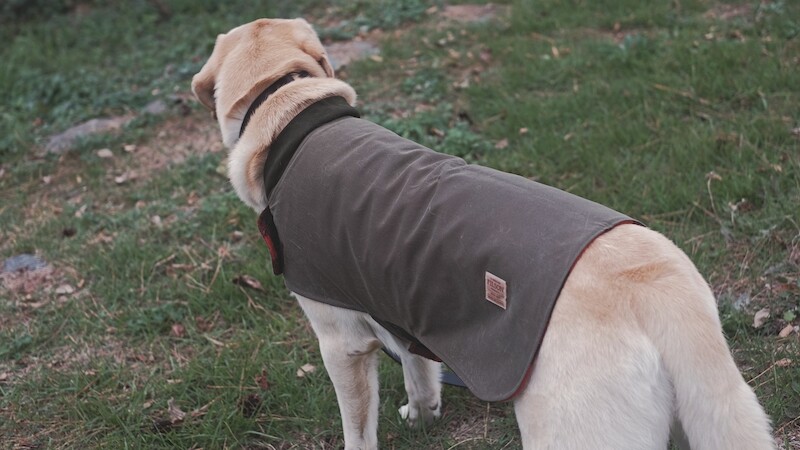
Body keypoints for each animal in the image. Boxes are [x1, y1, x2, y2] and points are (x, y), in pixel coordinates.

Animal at [192, 18, 776, 450]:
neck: (289, 109)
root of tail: (652, 287)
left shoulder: (341, 340)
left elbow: (358, 429)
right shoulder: (397, 308)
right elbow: (418, 369)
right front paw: (423, 414)